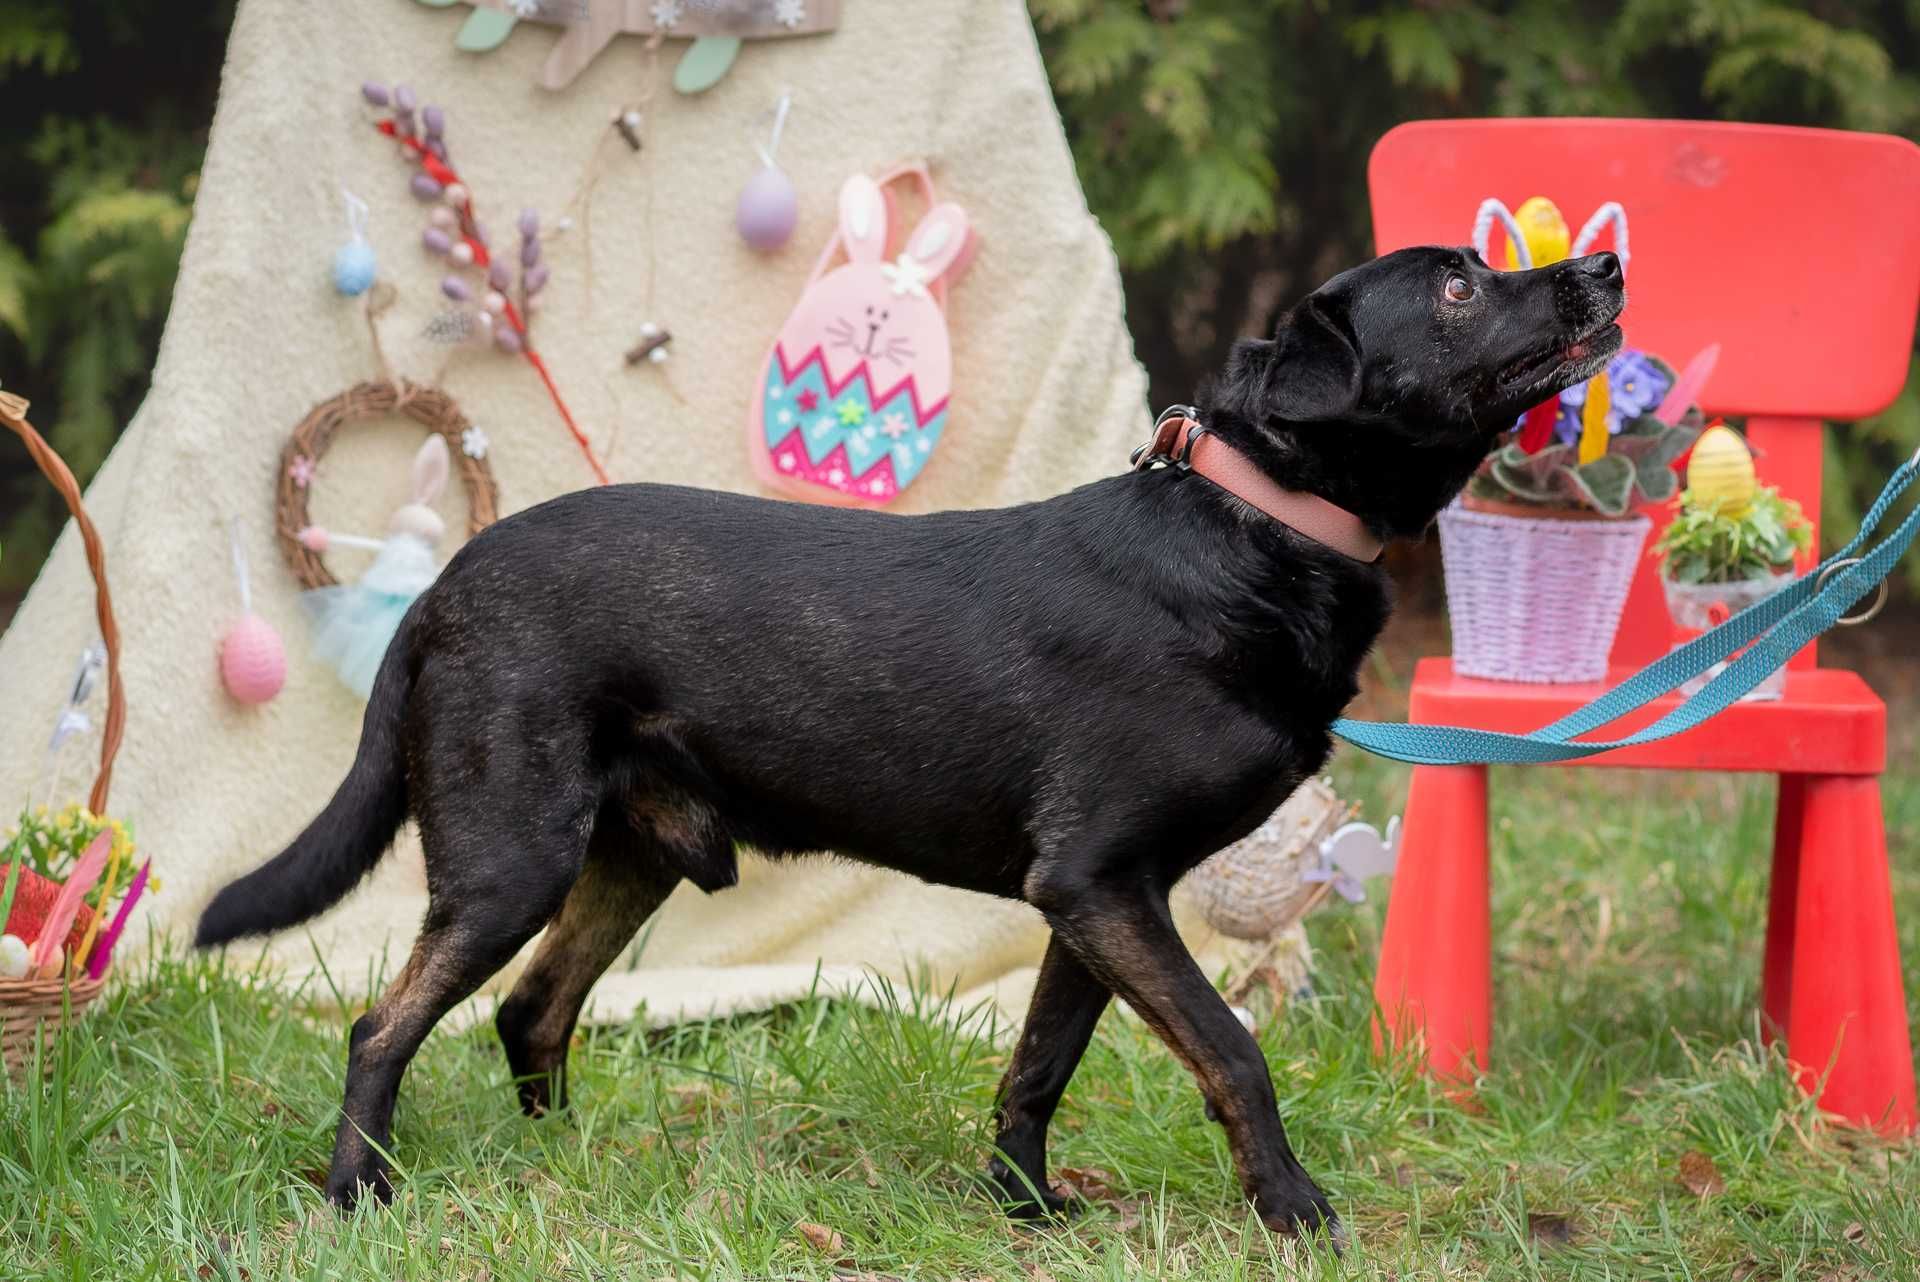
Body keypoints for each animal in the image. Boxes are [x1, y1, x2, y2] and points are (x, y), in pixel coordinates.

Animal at [202, 245, 1620, 1235]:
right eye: (1456, 284)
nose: (1605, 266)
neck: (1254, 526)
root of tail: (442, 586)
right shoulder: (1104, 883)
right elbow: (1232, 1048)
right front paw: (1293, 1208)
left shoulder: (1094, 900)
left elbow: (1039, 1064)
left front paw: (1023, 1208)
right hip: (512, 857)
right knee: (381, 1026)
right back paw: (357, 1194)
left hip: (629, 856)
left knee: (532, 1010)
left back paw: (567, 1171)